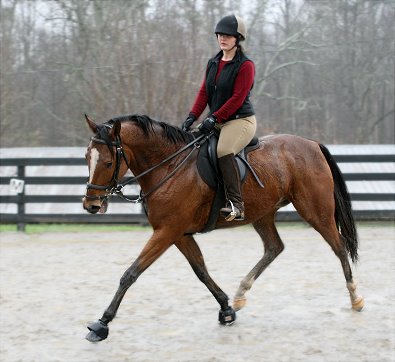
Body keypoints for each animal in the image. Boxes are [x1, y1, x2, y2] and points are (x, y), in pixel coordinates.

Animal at [83, 113, 366, 342]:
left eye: (108, 163)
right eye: (87, 157)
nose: (91, 204)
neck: (169, 165)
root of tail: (313, 144)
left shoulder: (167, 232)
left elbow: (131, 273)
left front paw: (102, 323)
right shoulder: (178, 234)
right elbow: (201, 271)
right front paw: (226, 309)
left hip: (317, 212)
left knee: (339, 247)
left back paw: (355, 298)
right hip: (262, 214)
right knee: (274, 247)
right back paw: (241, 294)